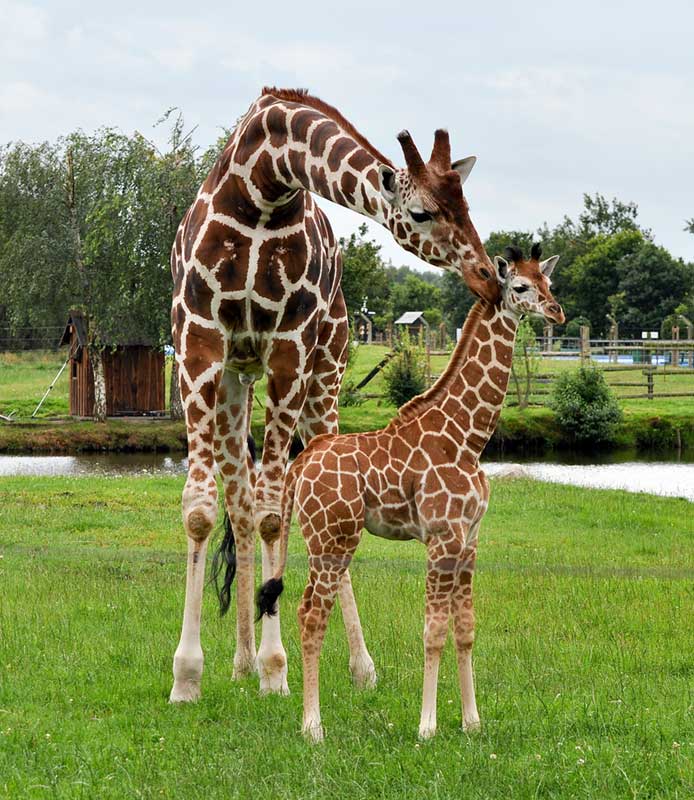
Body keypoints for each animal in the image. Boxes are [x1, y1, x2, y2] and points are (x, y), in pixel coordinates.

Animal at [169, 86, 501, 703]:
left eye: (466, 205)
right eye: (422, 212)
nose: (489, 278)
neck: (263, 187)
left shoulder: (291, 345)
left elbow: (275, 514)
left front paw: (277, 670)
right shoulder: (198, 343)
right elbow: (204, 510)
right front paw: (187, 676)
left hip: (326, 374)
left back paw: (357, 664)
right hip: (235, 382)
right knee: (239, 502)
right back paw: (240, 661)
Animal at [257, 243, 565, 741]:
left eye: (549, 283)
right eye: (520, 286)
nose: (556, 311)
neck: (467, 436)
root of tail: (299, 467)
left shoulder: (469, 539)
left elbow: (465, 629)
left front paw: (472, 723)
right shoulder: (441, 537)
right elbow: (432, 631)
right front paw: (427, 726)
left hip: (331, 538)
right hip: (331, 538)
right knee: (310, 614)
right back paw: (313, 727)